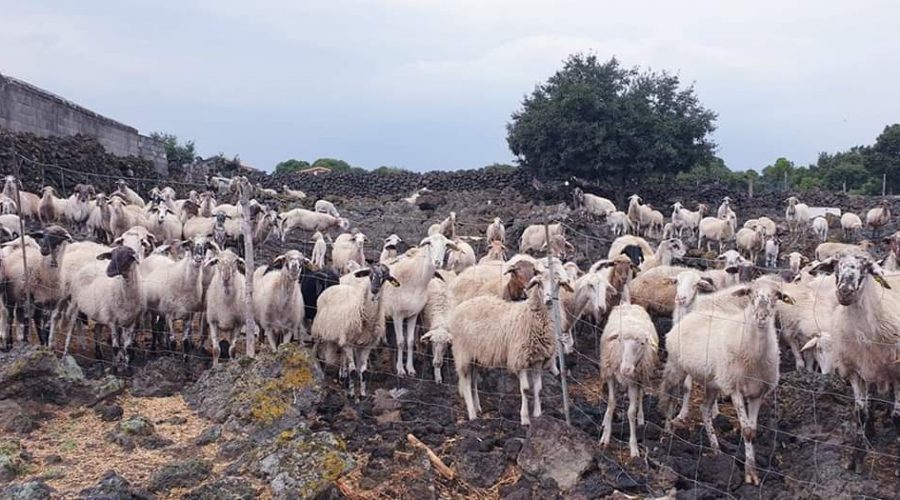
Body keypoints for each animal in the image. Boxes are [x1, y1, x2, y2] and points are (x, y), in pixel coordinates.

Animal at [596, 304, 660, 458]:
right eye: (619, 340)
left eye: (642, 343)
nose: (626, 369)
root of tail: (631, 304)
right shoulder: (611, 375)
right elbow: (611, 402)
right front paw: (605, 436)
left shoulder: (633, 382)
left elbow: (631, 412)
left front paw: (634, 447)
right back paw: (605, 420)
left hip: (641, 377)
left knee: (641, 396)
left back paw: (641, 419)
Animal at [660, 282, 796, 484]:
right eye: (750, 293)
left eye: (777, 296)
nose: (762, 316)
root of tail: (689, 316)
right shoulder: (735, 388)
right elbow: (746, 430)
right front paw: (749, 474)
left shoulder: (757, 393)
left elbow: (752, 431)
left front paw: (752, 470)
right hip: (677, 366)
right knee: (670, 395)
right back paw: (668, 430)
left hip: (713, 382)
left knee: (704, 409)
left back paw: (716, 450)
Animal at [804, 256, 900, 474]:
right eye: (836, 266)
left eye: (865, 268)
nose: (845, 291)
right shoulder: (855, 371)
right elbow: (860, 414)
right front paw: (856, 458)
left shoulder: (898, 371)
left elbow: (898, 415)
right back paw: (872, 430)